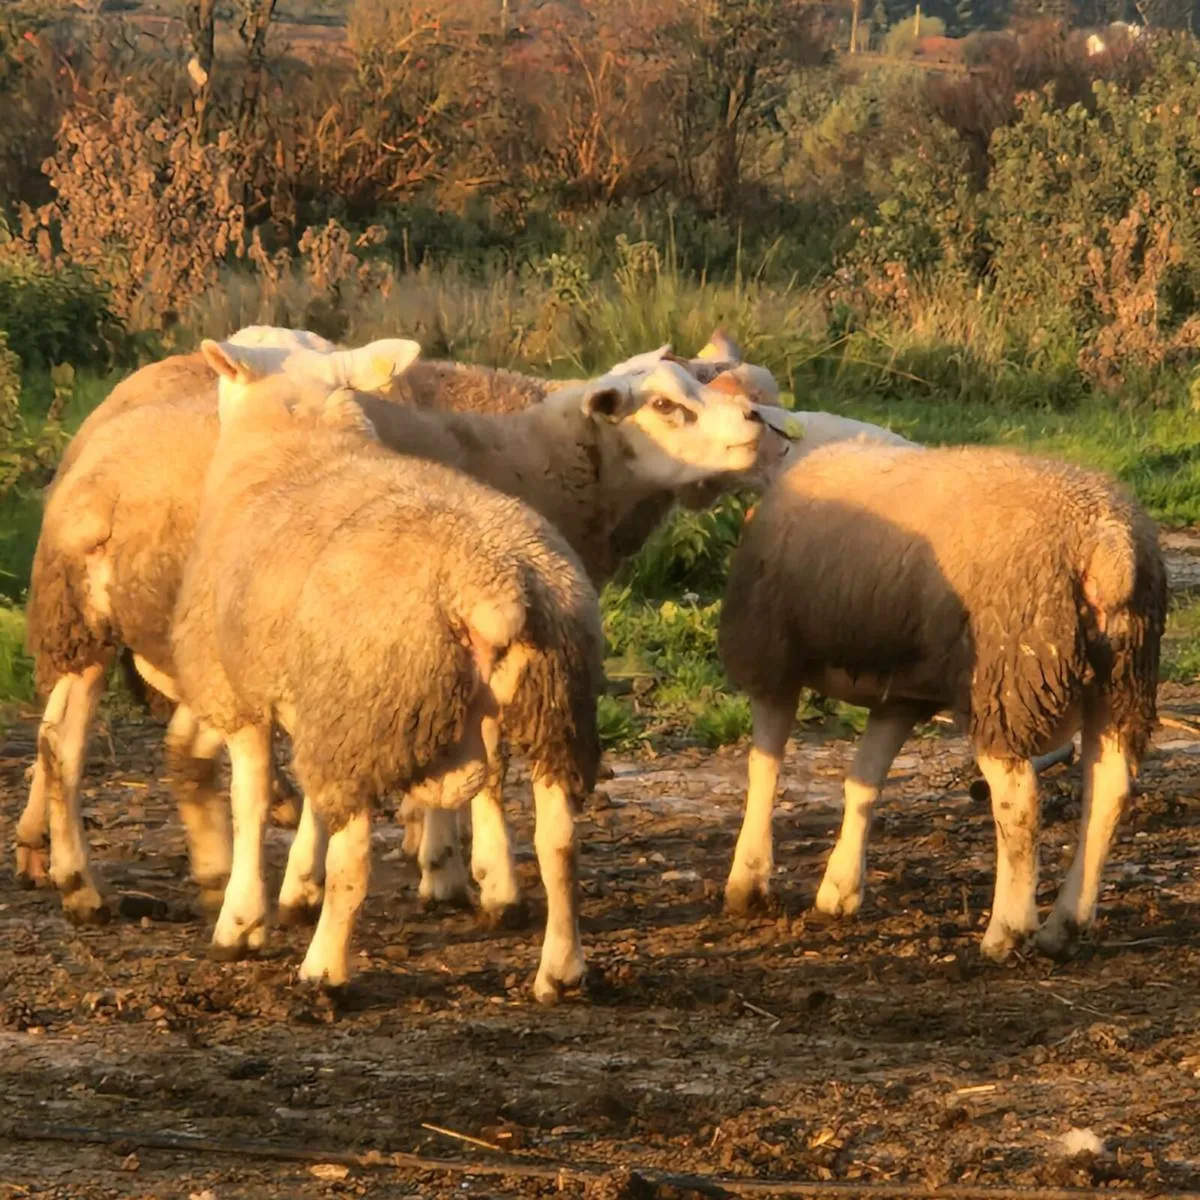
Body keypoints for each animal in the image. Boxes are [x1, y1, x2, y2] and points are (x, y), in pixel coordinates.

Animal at [170, 352, 604, 1000]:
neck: (301, 437)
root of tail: (496, 580)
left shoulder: (241, 695)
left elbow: (250, 806)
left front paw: (241, 924)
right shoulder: (317, 700)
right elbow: (310, 804)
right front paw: (296, 888)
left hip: (373, 707)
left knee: (354, 863)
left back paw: (323, 972)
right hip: (554, 710)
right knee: (561, 846)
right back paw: (561, 970)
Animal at [718, 442, 1166, 962]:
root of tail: (1109, 546)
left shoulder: (772, 658)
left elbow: (763, 770)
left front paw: (747, 882)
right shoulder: (900, 695)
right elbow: (863, 783)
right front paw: (840, 890)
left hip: (1004, 678)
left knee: (1019, 801)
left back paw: (1006, 933)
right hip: (1123, 682)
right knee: (1110, 791)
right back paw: (1064, 927)